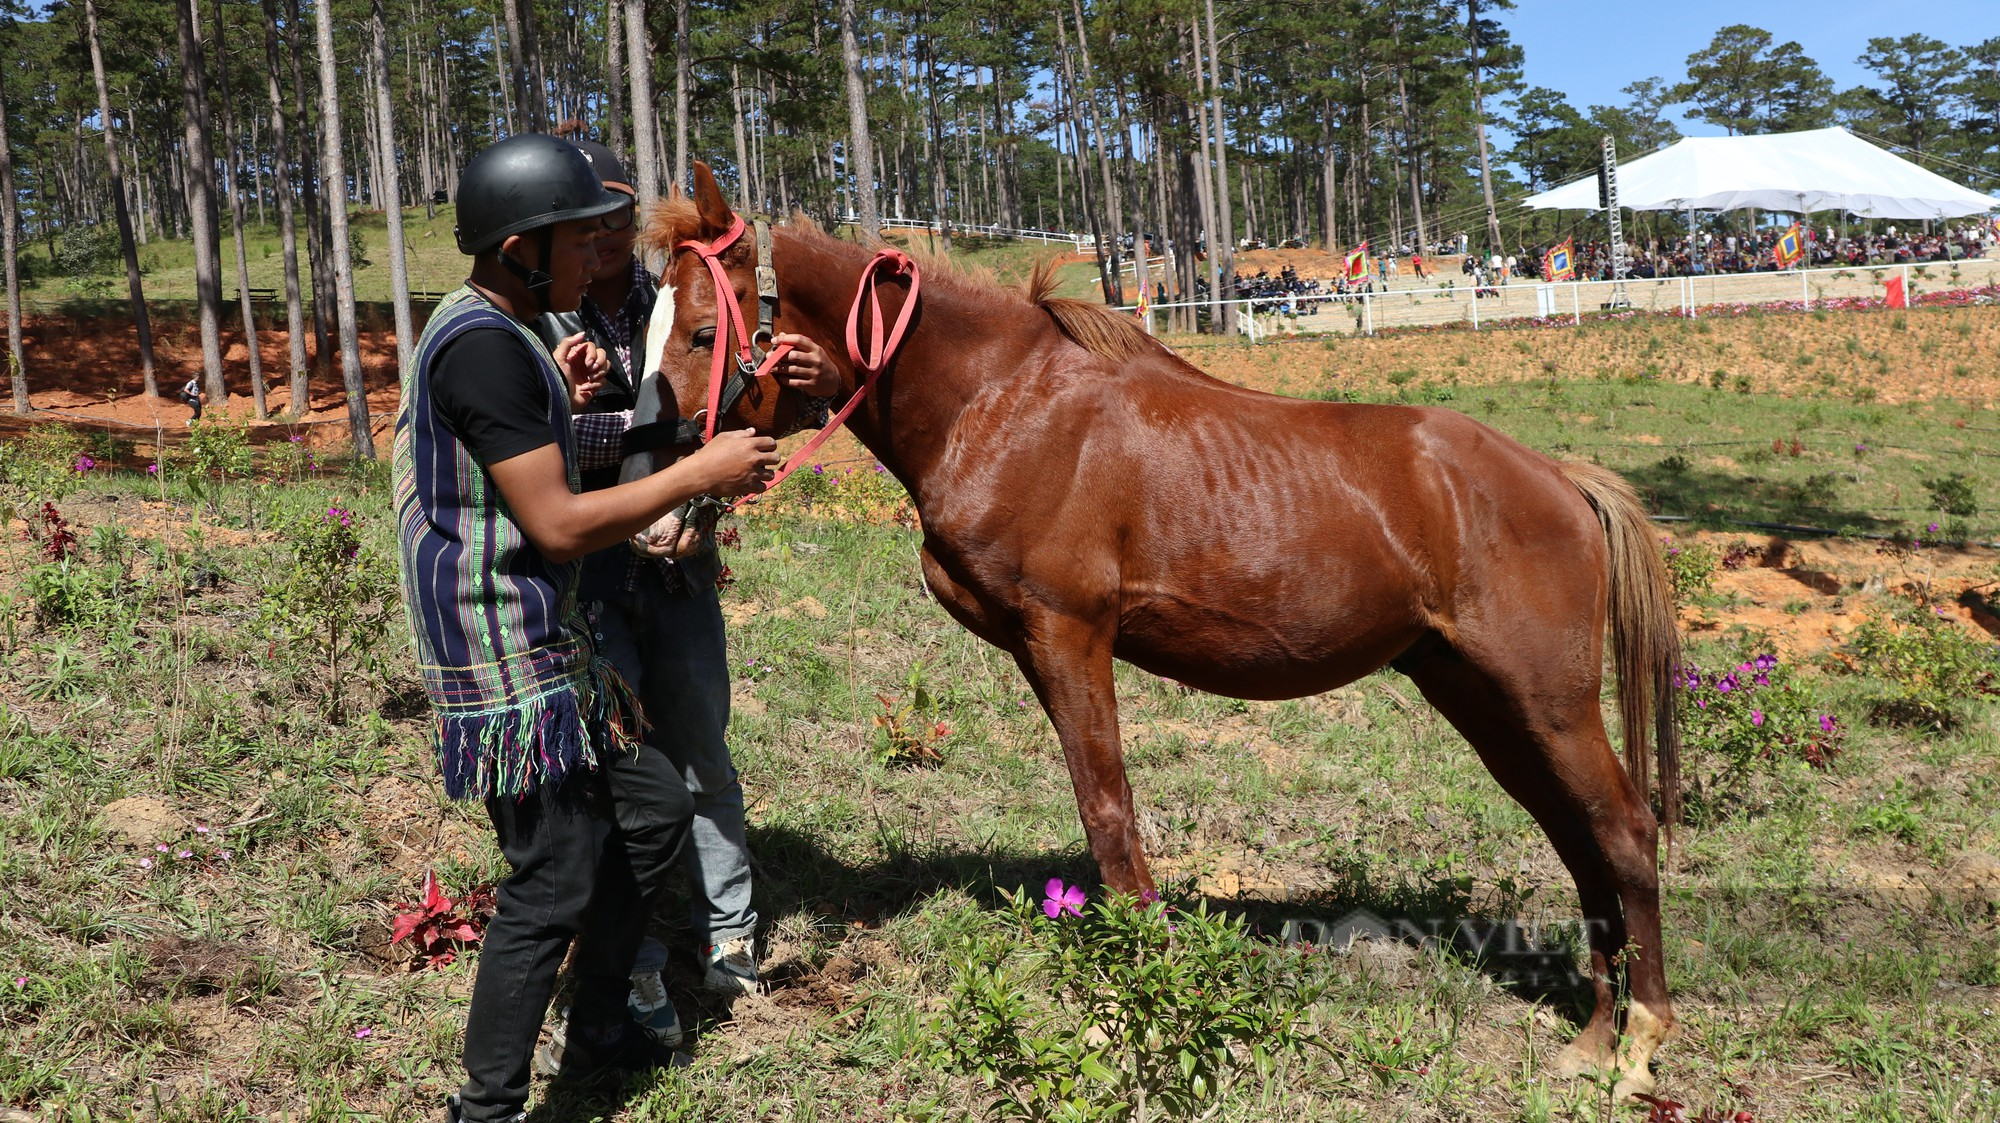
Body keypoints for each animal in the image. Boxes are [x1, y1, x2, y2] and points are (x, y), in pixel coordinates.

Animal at [628, 165, 1688, 1095]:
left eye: (701, 331)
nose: (655, 508)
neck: (1000, 401)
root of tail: (1560, 478)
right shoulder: (1044, 649)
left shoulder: (1071, 636)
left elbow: (1110, 813)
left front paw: (1131, 998)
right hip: (1480, 695)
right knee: (1576, 836)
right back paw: (1594, 1034)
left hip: (1547, 700)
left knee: (1625, 831)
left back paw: (1639, 1044)